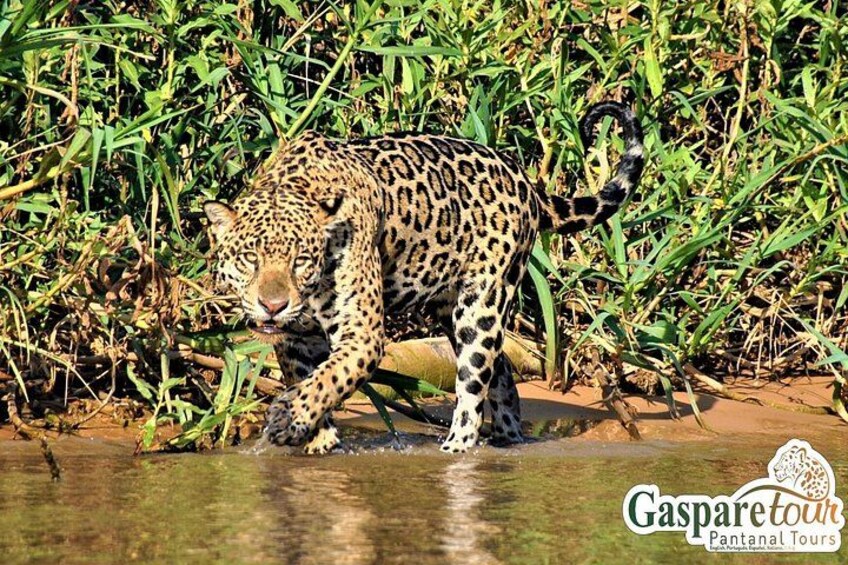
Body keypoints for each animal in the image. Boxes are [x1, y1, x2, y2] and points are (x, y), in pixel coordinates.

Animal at [203, 101, 644, 454]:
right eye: (249, 259)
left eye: (300, 261)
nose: (272, 306)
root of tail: (520, 175)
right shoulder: (295, 339)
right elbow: (310, 380)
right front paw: (317, 438)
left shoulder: (362, 336)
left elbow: (330, 378)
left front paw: (288, 418)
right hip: (449, 310)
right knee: (502, 374)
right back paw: (508, 438)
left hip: (481, 306)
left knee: (473, 386)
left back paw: (457, 447)